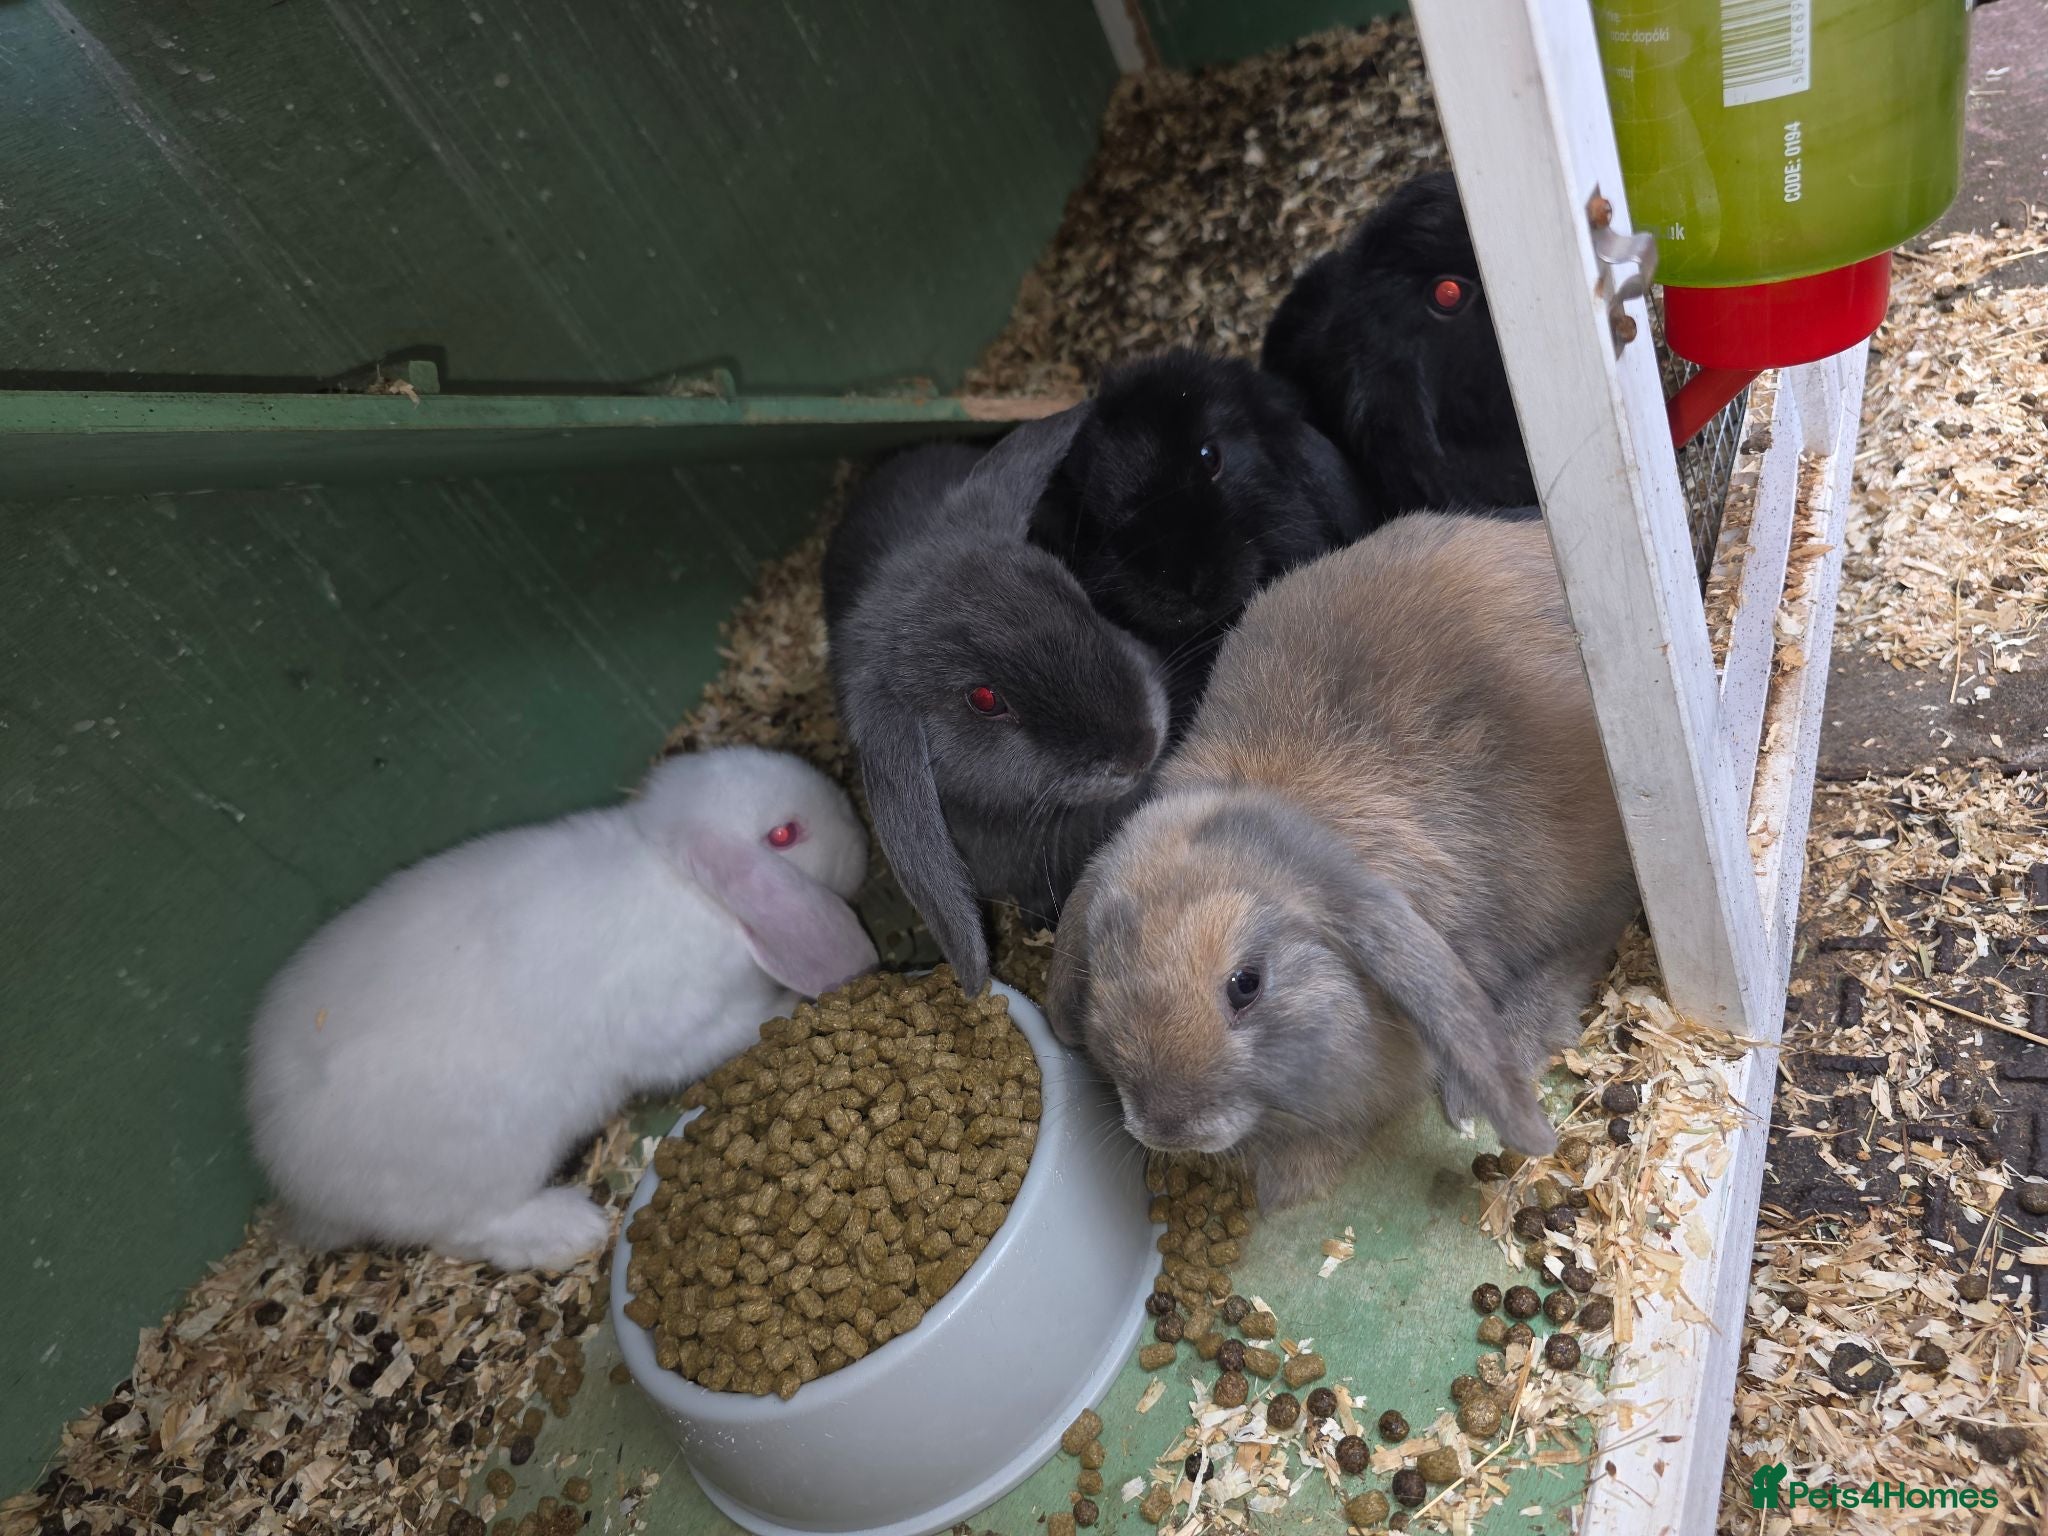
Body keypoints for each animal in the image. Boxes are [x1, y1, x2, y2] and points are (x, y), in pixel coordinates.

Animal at [245, 746, 877, 1272]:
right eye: (784, 833)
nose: (860, 838)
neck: (683, 884)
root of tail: (290, 1171)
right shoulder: (683, 1027)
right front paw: (793, 1003)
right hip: (487, 1165)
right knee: (466, 1232)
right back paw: (573, 1230)